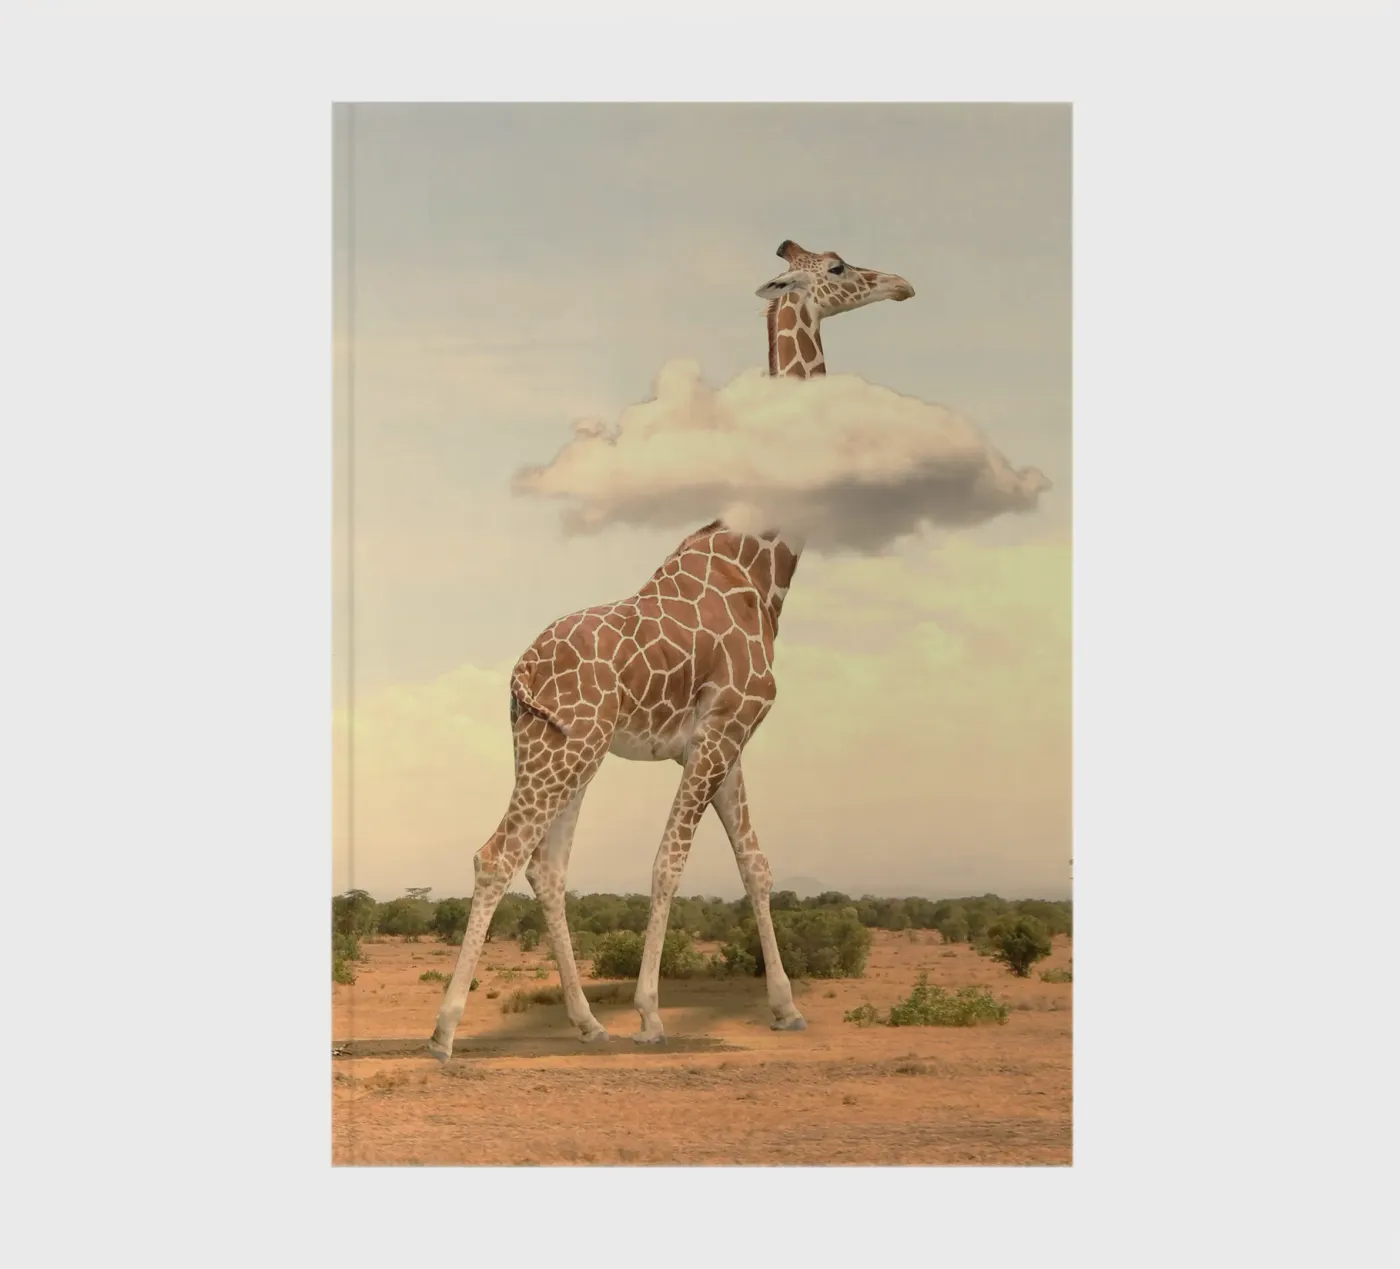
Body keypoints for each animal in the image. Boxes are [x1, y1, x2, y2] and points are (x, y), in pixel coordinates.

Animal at [428, 240, 914, 1060]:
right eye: (840, 267)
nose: (902, 285)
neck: (762, 568)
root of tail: (519, 676)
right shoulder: (721, 732)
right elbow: (668, 864)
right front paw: (653, 1015)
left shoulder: (724, 741)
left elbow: (756, 864)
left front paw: (785, 1007)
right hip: (569, 750)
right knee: (499, 854)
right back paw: (445, 1032)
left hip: (555, 748)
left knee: (546, 867)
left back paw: (588, 1023)